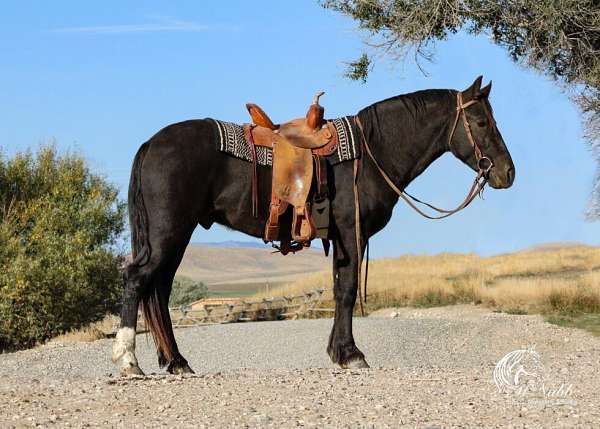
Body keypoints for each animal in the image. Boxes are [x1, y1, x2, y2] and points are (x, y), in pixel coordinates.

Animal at [112, 77, 516, 374]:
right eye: (482, 122)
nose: (507, 173)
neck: (371, 152)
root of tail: (151, 144)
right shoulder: (351, 235)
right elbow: (348, 291)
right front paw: (352, 355)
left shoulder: (339, 239)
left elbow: (338, 290)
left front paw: (338, 351)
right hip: (169, 232)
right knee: (137, 279)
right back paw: (130, 361)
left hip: (176, 236)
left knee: (160, 290)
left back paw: (176, 362)